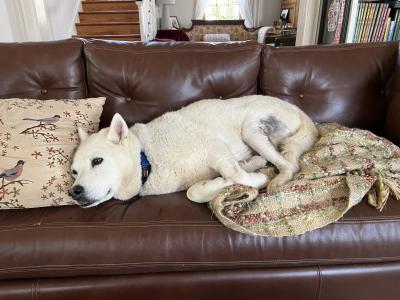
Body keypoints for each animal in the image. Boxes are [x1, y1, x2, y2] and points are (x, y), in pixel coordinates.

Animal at [69, 95, 318, 207]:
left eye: (97, 161)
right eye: (74, 172)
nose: (74, 192)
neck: (147, 159)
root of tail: (298, 109)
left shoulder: (216, 149)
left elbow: (237, 174)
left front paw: (256, 178)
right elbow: (195, 192)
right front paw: (225, 181)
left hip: (251, 130)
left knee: (290, 165)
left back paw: (277, 180)